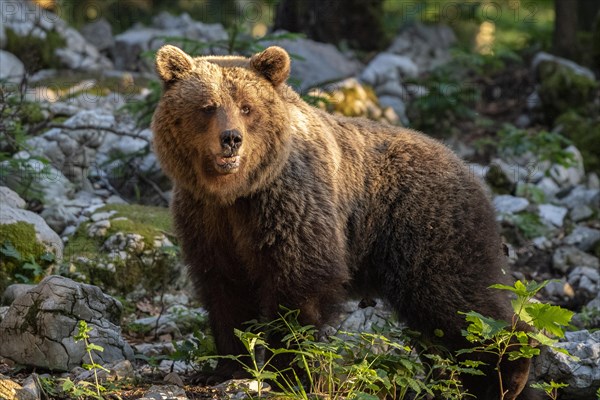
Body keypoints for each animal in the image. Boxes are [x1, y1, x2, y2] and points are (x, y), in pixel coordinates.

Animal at [152, 45, 536, 398]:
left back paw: (508, 375)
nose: (231, 139)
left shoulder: (290, 207)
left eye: (247, 107)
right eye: (208, 106)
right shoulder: (207, 220)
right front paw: (222, 368)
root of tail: (469, 169)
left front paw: (290, 373)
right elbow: (225, 291)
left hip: (427, 228)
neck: (236, 192)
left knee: (460, 303)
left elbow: (298, 288)